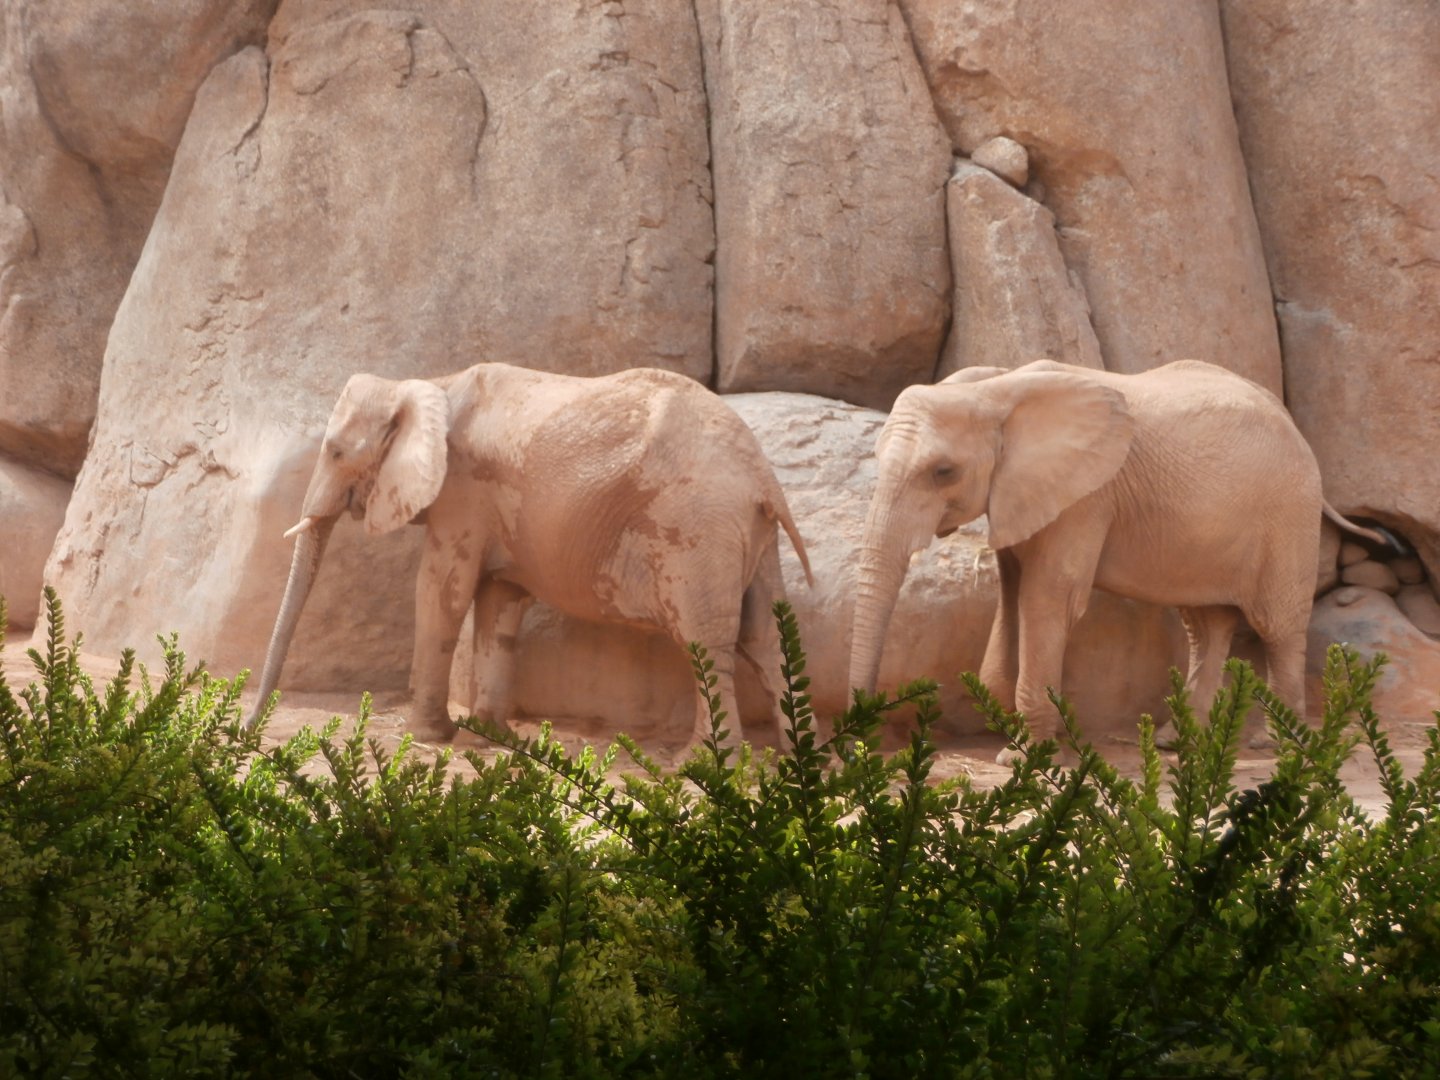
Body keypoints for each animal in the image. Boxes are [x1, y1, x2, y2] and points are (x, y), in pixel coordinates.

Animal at [249, 363, 813, 745]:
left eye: (336, 452)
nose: (252, 727)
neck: (426, 383)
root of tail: (763, 478)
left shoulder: (463, 491)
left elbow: (441, 594)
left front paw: (430, 737)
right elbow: (500, 602)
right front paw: (483, 737)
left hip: (697, 529)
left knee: (706, 644)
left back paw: (699, 765)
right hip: (751, 534)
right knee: (765, 636)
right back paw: (792, 763)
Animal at [848, 358, 1385, 759]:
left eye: (943, 471)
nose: (861, 743)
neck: (994, 390)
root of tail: (1292, 423)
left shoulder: (1087, 497)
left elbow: (1048, 599)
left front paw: (1022, 755)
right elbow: (1012, 591)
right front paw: (1010, 725)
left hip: (1288, 514)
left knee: (1277, 627)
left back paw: (1275, 745)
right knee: (1206, 626)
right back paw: (1176, 740)